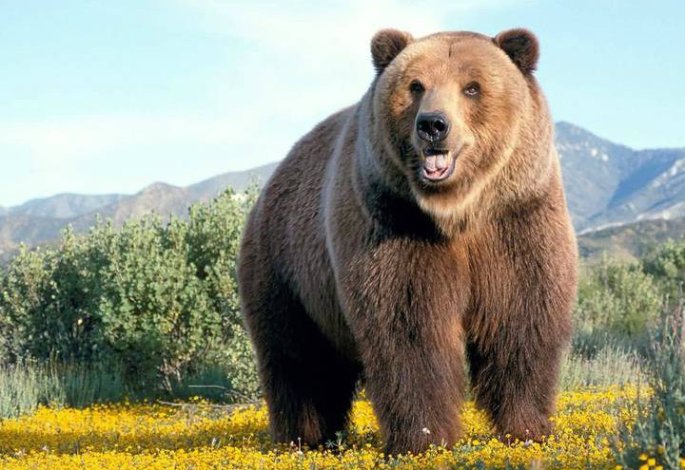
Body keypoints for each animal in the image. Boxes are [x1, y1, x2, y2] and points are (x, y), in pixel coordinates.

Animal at [238, 28, 577, 455]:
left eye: (472, 87)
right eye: (416, 85)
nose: (433, 124)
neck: (457, 212)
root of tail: (271, 183)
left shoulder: (516, 220)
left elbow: (520, 318)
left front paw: (528, 429)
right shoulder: (394, 224)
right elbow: (409, 328)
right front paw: (425, 438)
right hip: (287, 269)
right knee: (299, 359)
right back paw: (305, 437)